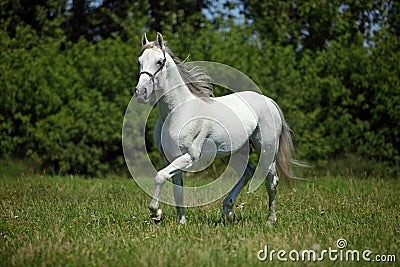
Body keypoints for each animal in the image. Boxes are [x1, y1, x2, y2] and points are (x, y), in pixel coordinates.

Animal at [136, 32, 296, 225]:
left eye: (159, 61)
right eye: (139, 61)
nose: (141, 93)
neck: (178, 111)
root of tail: (268, 101)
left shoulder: (190, 157)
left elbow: (159, 176)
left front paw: (156, 213)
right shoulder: (171, 158)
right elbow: (177, 189)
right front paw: (181, 222)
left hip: (266, 148)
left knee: (271, 181)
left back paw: (270, 220)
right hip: (237, 151)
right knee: (248, 171)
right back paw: (228, 211)